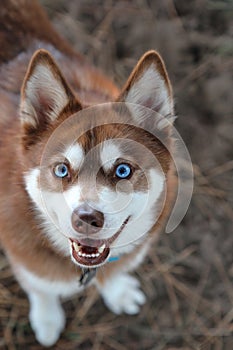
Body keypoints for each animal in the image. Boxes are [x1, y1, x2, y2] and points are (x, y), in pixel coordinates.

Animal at [0, 0, 176, 346]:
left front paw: (117, 291)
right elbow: (40, 286)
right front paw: (47, 317)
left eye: (122, 170)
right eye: (61, 169)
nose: (86, 218)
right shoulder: (24, 254)